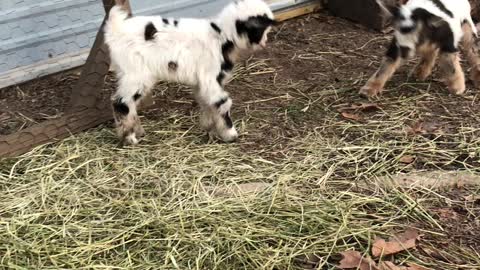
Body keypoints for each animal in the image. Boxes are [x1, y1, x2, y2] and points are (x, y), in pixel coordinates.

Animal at [106, 0, 278, 146]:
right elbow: (222, 103)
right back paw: (129, 137)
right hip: (137, 74)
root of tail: (115, 31)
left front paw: (209, 128)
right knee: (121, 103)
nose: (265, 42)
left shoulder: (201, 84)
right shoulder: (210, 78)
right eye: (261, 29)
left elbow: (206, 103)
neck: (221, 36)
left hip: (128, 73)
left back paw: (137, 131)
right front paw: (230, 134)